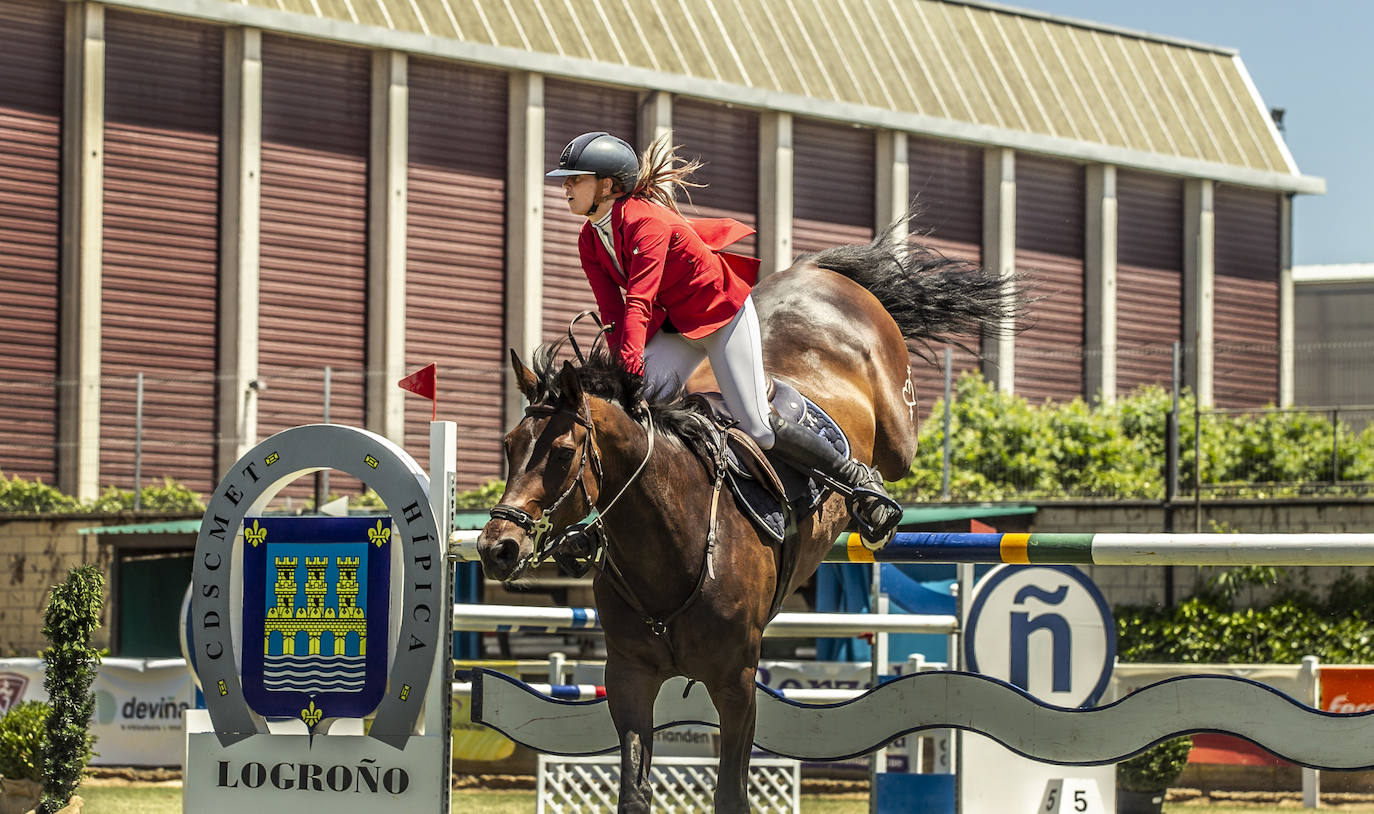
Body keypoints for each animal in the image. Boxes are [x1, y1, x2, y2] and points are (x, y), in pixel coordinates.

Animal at [478, 222, 1016, 814]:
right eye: (509, 446)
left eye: (562, 454)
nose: (496, 547)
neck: (674, 546)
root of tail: (816, 271)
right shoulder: (628, 678)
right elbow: (635, 792)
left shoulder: (736, 684)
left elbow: (731, 795)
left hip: (896, 429)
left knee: (873, 448)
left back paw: (871, 500)